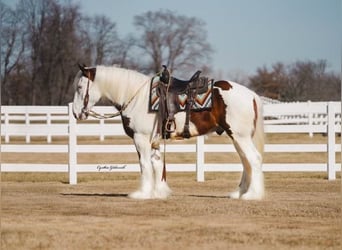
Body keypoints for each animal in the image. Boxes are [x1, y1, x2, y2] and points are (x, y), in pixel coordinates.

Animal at [71, 65, 264, 200]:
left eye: (79, 87)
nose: (76, 113)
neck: (137, 98)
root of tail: (252, 95)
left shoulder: (140, 139)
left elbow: (145, 165)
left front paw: (142, 194)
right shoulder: (154, 141)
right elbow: (157, 164)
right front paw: (159, 192)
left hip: (240, 136)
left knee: (253, 159)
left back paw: (252, 195)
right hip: (237, 137)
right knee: (246, 162)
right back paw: (240, 193)